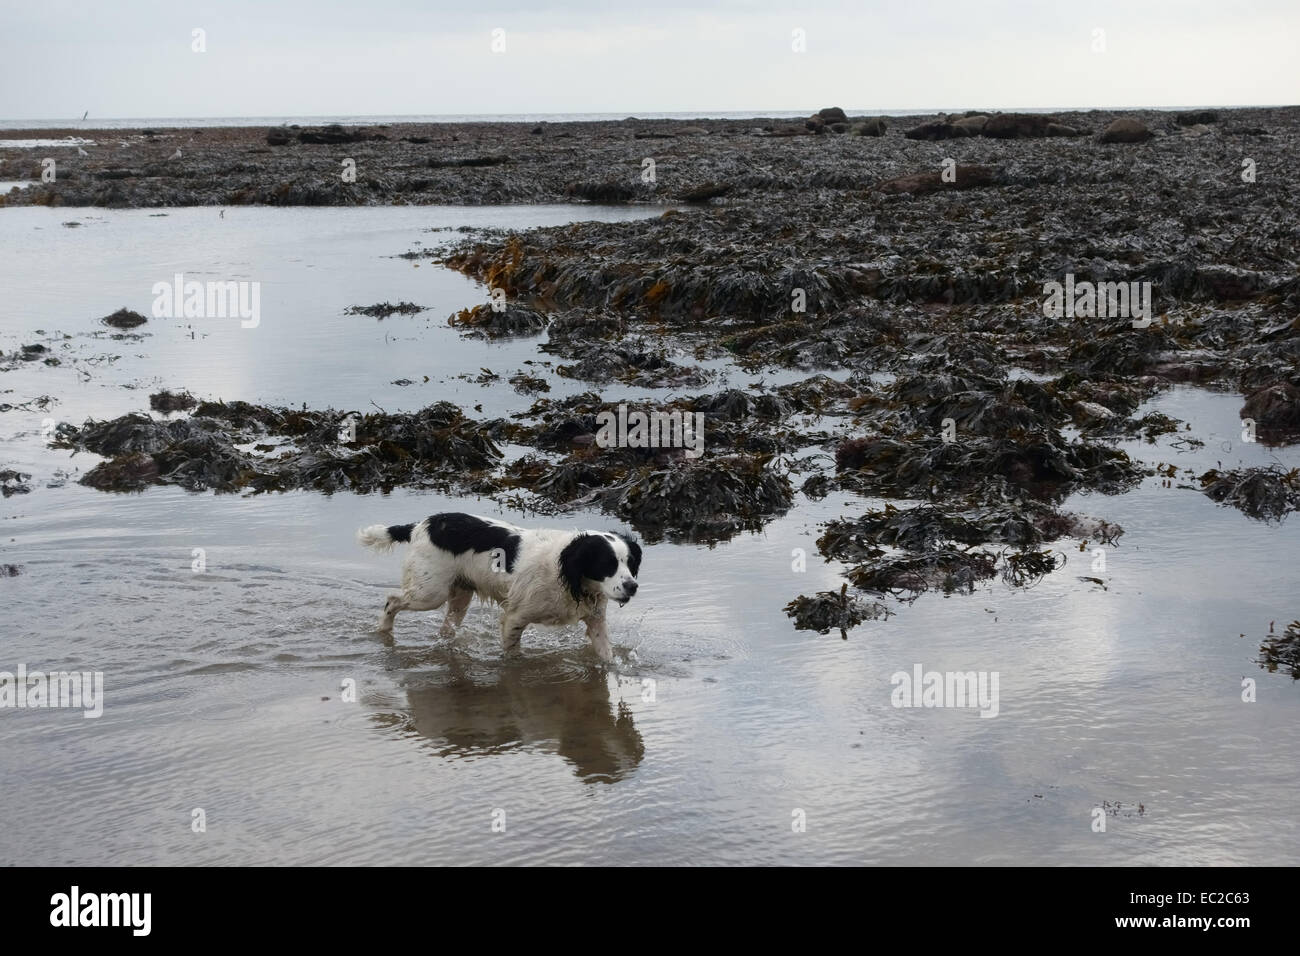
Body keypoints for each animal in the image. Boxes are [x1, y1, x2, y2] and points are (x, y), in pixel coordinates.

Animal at [358, 512, 642, 660]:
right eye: (607, 564)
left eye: (630, 562)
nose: (632, 586)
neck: (564, 572)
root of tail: (421, 525)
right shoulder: (515, 618)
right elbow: (513, 653)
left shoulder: (596, 621)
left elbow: (607, 656)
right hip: (429, 593)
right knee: (392, 600)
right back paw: (383, 631)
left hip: (460, 596)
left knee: (446, 628)